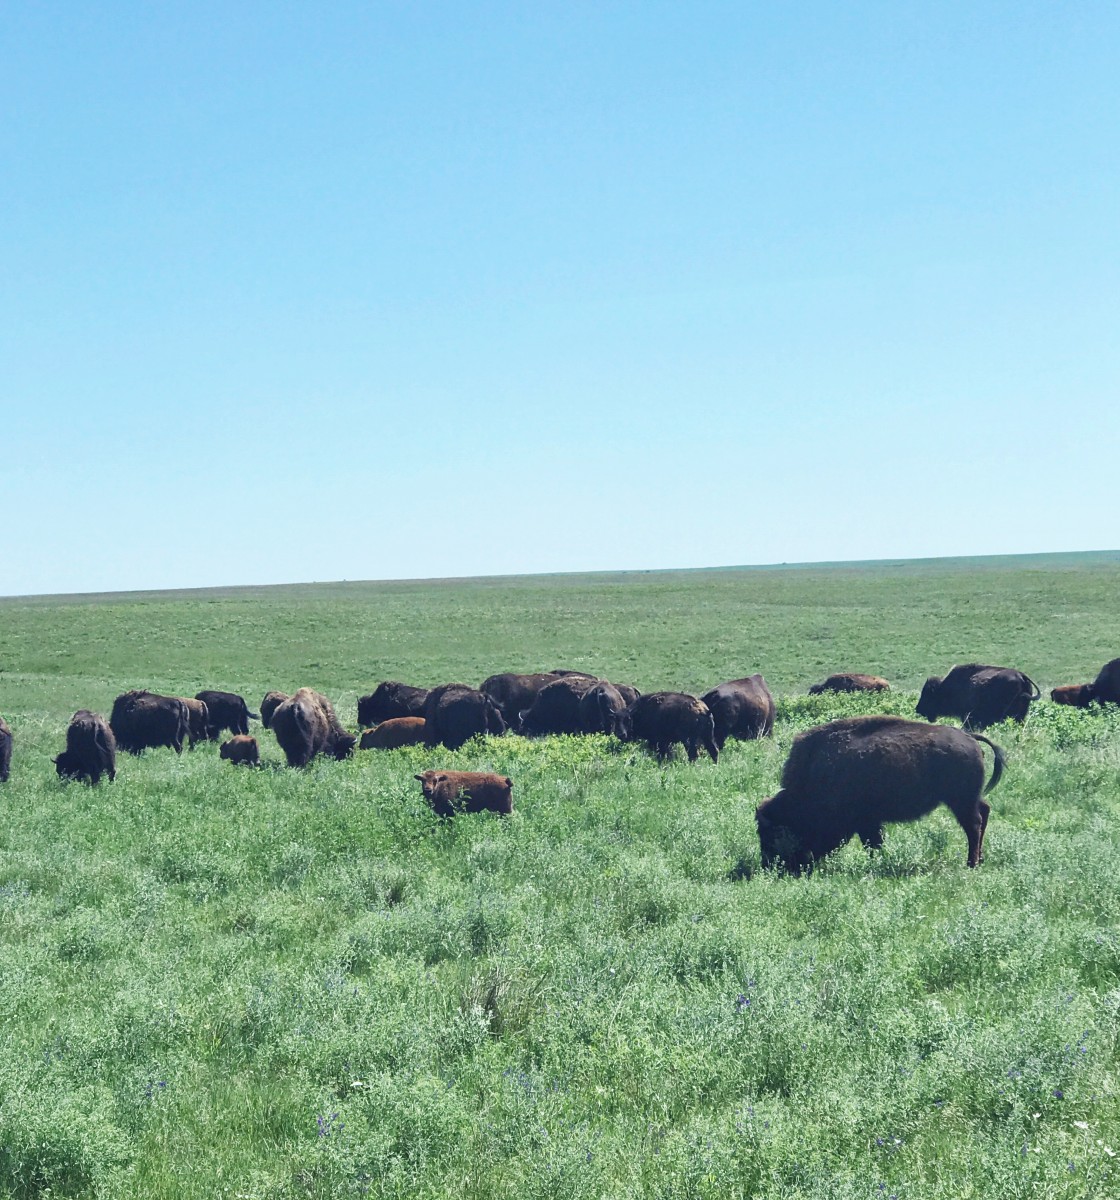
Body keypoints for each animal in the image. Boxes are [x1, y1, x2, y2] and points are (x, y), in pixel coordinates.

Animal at [753, 710, 1003, 873]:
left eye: (774, 834)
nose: (768, 865)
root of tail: (969, 737)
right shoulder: (868, 822)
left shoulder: (865, 822)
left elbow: (873, 843)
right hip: (970, 798)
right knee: (984, 813)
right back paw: (979, 860)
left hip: (960, 801)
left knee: (973, 825)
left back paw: (971, 864)